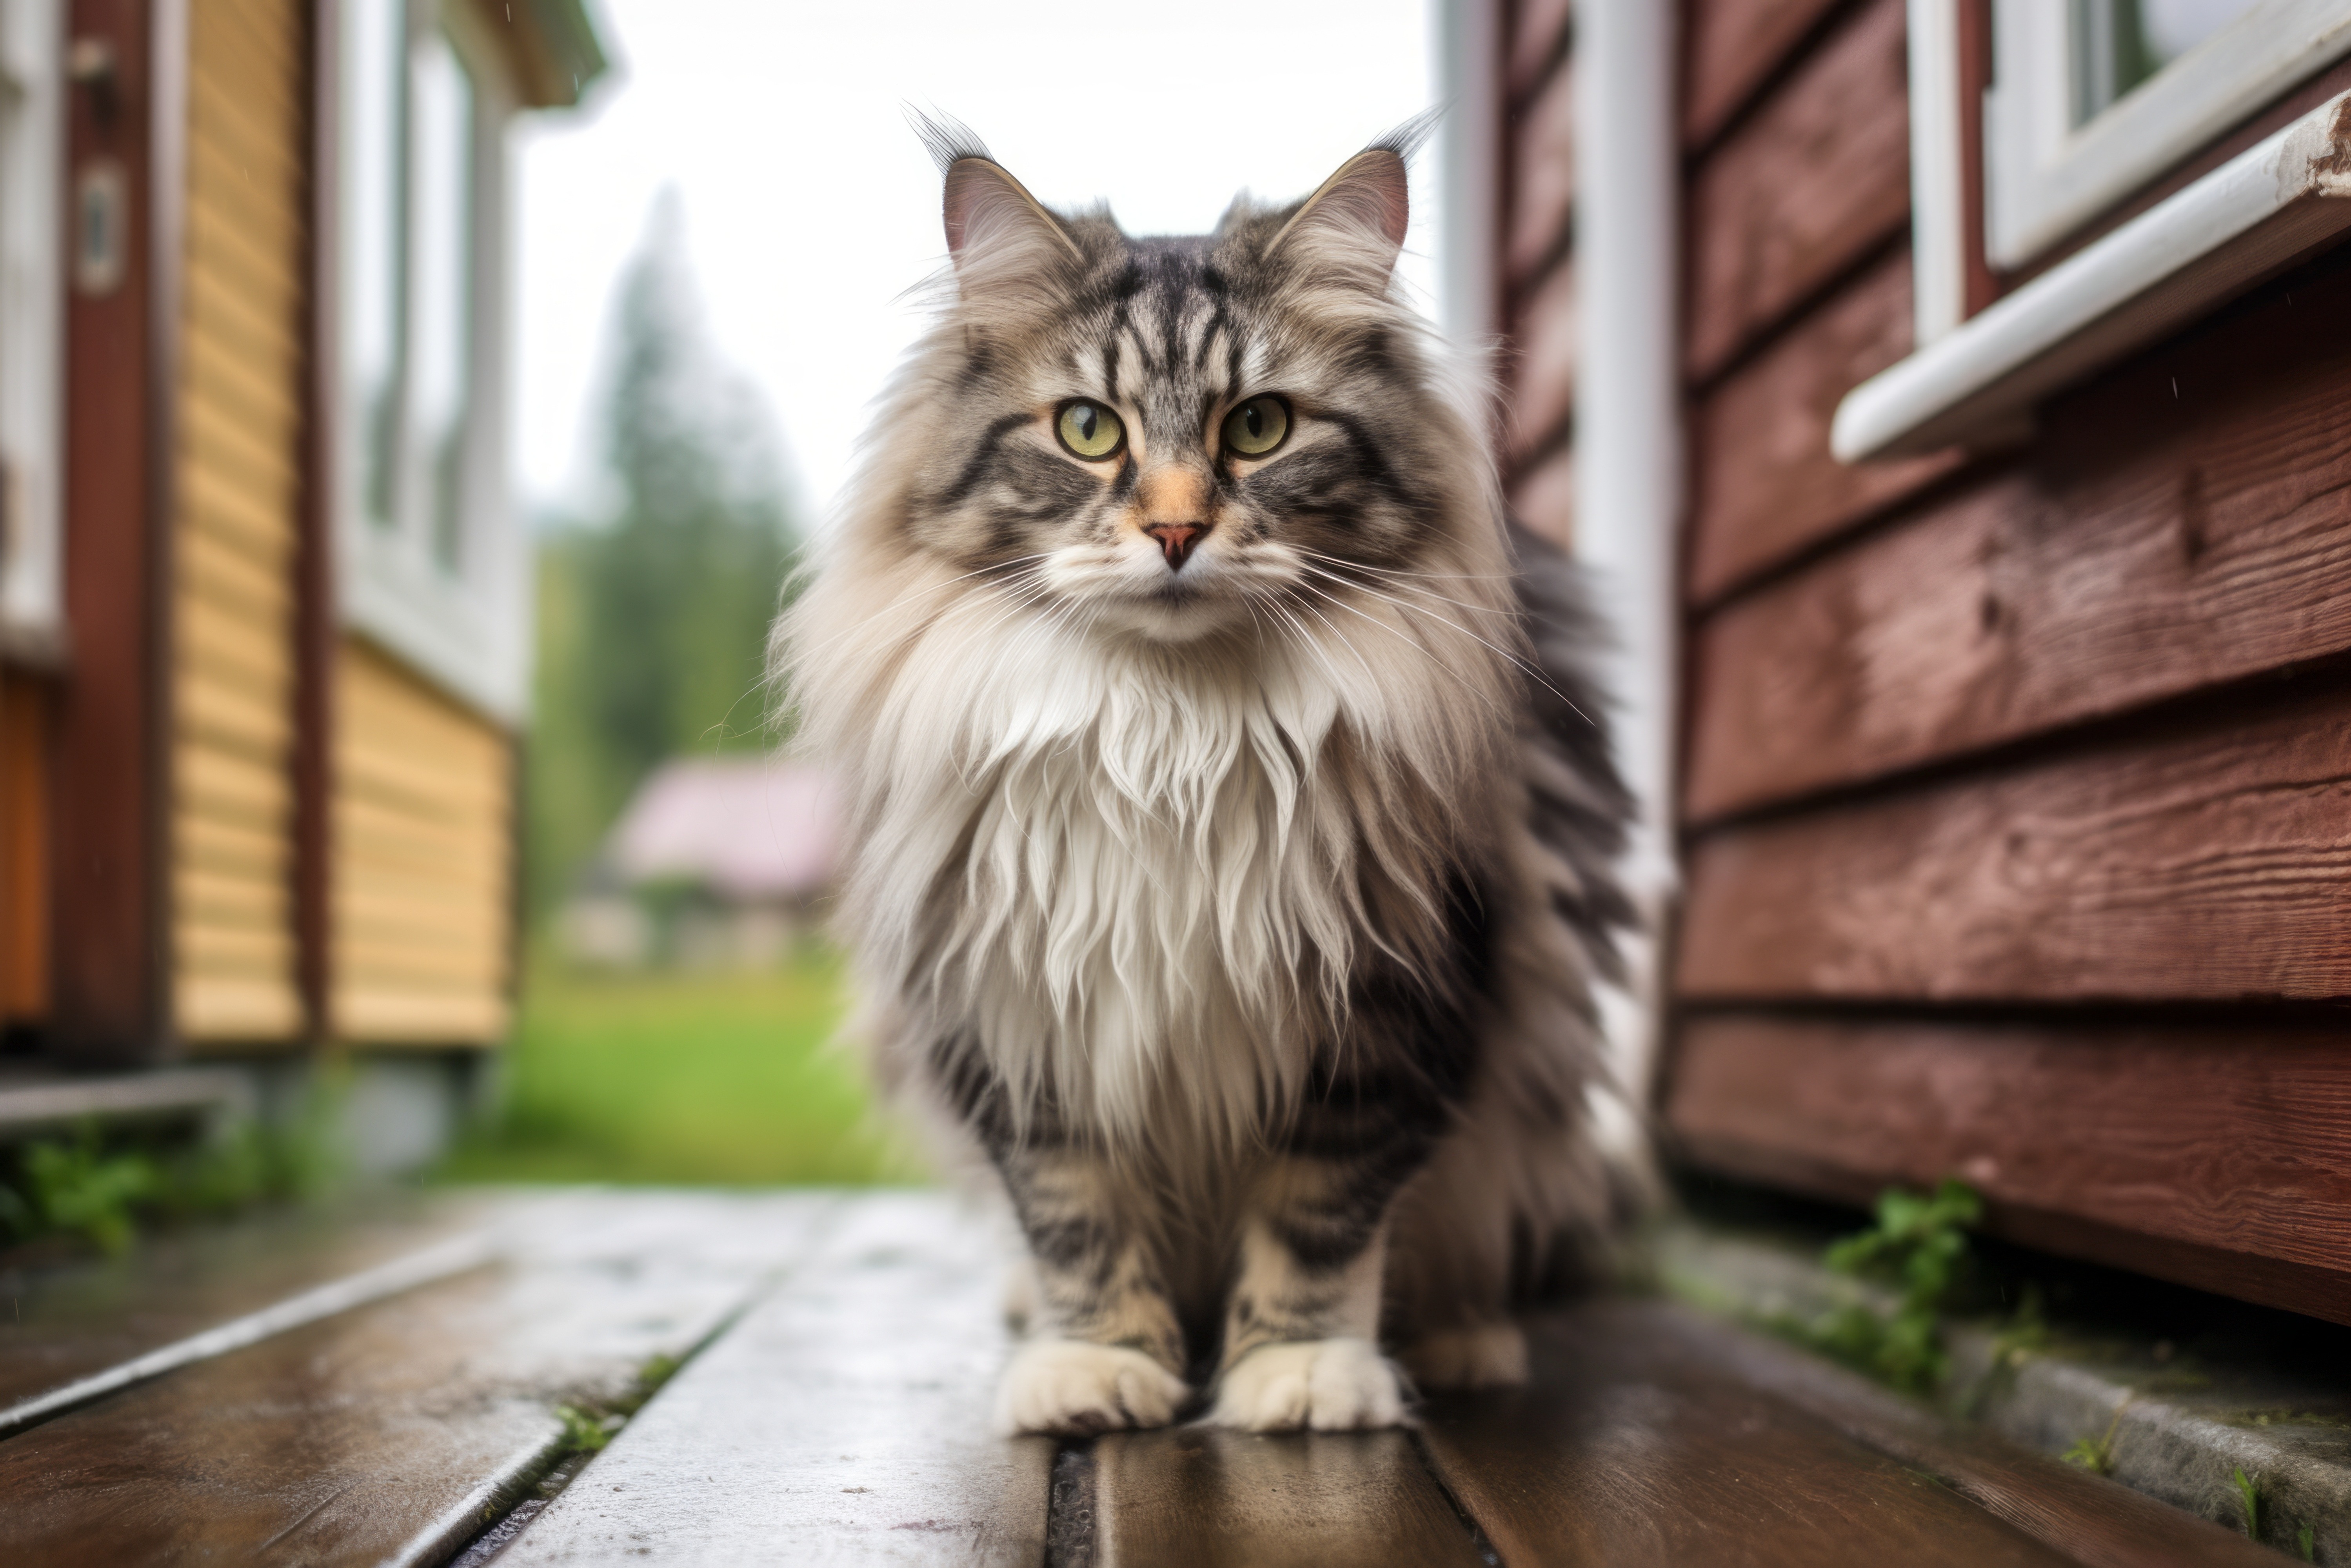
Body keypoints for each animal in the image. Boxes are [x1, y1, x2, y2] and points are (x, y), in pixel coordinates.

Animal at [776, 120, 1636, 1439]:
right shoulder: (1016, 1007)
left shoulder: (1393, 1005)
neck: (1168, 735)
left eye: (1260, 428)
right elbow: (1075, 1214)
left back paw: (1458, 1342)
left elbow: (1321, 1213)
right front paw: (1099, 1369)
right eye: (1088, 430)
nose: (1176, 532)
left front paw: (1302, 1375)